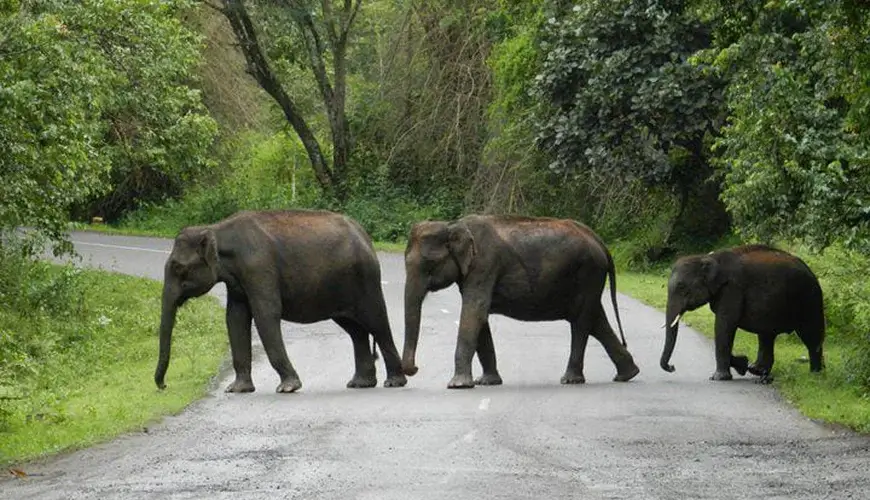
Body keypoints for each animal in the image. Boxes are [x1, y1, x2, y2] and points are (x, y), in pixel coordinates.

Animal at [154, 210, 408, 393]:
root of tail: (365, 236)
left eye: (178, 268)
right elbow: (235, 318)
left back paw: (394, 382)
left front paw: (288, 388)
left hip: (365, 279)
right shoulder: (237, 282)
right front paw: (237, 389)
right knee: (355, 330)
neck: (216, 229)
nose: (163, 385)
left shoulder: (258, 268)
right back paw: (360, 384)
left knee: (377, 322)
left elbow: (266, 314)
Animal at [401, 214, 640, 388]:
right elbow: (480, 318)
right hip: (589, 279)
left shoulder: (484, 265)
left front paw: (458, 385)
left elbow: (474, 311)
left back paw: (571, 380)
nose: (415, 369)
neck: (453, 225)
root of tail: (600, 242)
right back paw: (627, 375)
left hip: (588, 273)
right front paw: (487, 383)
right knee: (596, 321)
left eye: (429, 265)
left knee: (582, 322)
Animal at [660, 244, 825, 383]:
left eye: (681, 287)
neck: (708, 257)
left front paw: (719, 378)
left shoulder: (732, 289)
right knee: (766, 335)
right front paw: (743, 364)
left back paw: (815, 375)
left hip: (808, 298)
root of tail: (811, 272)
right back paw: (757, 370)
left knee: (811, 335)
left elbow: (724, 326)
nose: (672, 367)